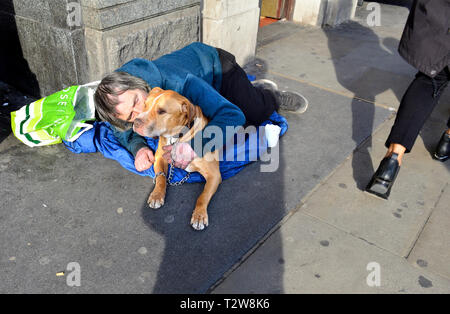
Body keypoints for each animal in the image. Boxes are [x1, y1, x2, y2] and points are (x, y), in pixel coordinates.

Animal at [132, 87, 221, 229]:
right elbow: (161, 178)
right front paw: (157, 194)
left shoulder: (214, 175)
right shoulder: (159, 158)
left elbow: (203, 196)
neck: (177, 137)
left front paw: (199, 215)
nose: (136, 122)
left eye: (162, 111)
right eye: (145, 105)